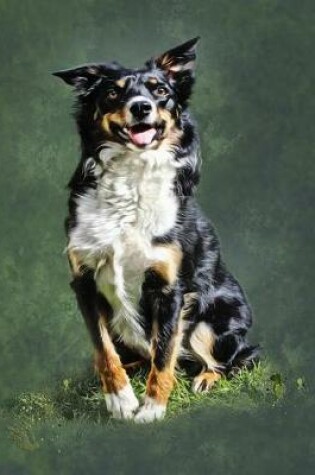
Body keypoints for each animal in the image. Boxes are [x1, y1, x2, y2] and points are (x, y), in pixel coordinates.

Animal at [53, 38, 260, 424]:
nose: (141, 107)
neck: (131, 174)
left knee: (232, 359)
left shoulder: (169, 287)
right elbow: (104, 351)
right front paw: (120, 398)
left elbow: (164, 354)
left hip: (213, 316)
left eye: (160, 90)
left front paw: (151, 409)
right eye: (113, 93)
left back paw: (205, 378)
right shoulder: (84, 280)